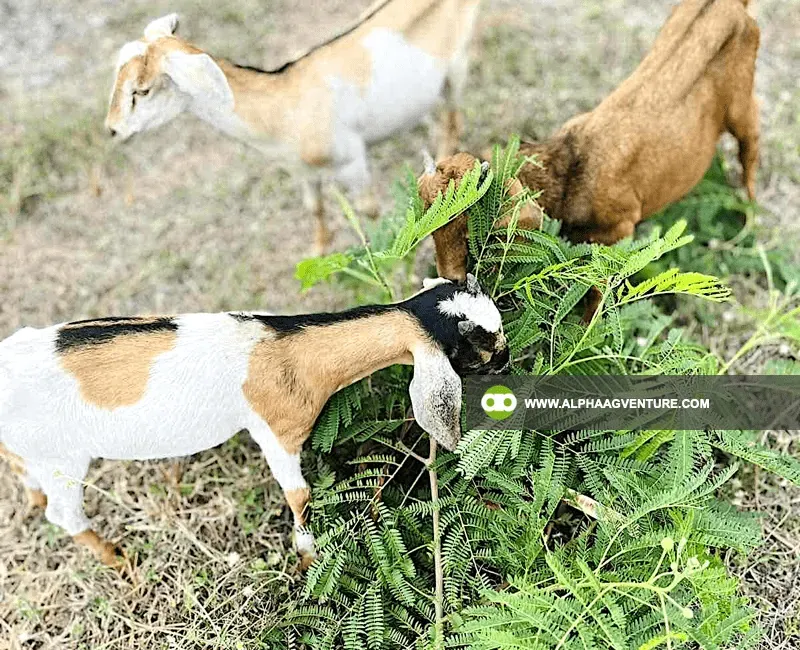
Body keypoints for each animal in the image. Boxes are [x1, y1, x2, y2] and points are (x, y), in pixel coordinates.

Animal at [0, 276, 507, 569]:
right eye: (480, 344)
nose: (506, 361)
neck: (289, 349)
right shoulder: (275, 430)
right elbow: (299, 494)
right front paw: (307, 556)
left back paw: (32, 498)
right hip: (64, 457)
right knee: (63, 514)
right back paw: (118, 561)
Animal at [104, 2, 482, 254]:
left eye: (141, 90)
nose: (112, 130)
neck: (284, 106)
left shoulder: (352, 161)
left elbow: (369, 210)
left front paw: (386, 256)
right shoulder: (300, 169)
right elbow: (313, 206)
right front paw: (319, 249)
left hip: (458, 65)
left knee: (454, 113)